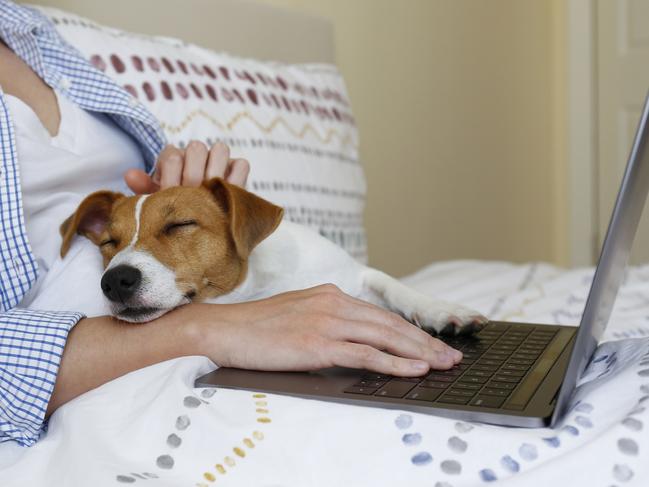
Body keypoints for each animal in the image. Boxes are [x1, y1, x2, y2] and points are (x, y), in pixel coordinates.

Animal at [58, 177, 486, 338]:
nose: (115, 280)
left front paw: (442, 310)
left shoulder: (355, 272)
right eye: (109, 242)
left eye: (180, 224)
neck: (261, 283)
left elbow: (393, 285)